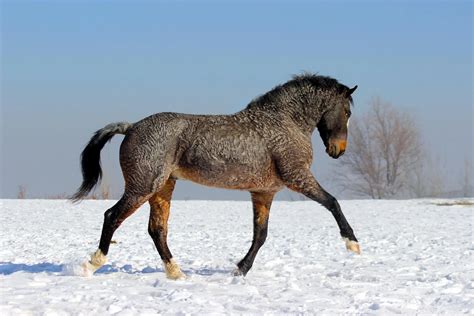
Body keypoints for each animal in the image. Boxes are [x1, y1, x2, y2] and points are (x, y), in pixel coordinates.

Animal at [71, 73, 360, 278]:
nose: (339, 150)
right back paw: (92, 264)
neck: (284, 122)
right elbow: (332, 202)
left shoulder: (264, 192)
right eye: (347, 112)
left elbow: (260, 234)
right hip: (143, 187)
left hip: (162, 188)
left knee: (157, 229)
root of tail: (131, 127)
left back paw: (177, 273)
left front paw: (240, 269)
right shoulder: (298, 176)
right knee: (113, 216)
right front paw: (353, 244)